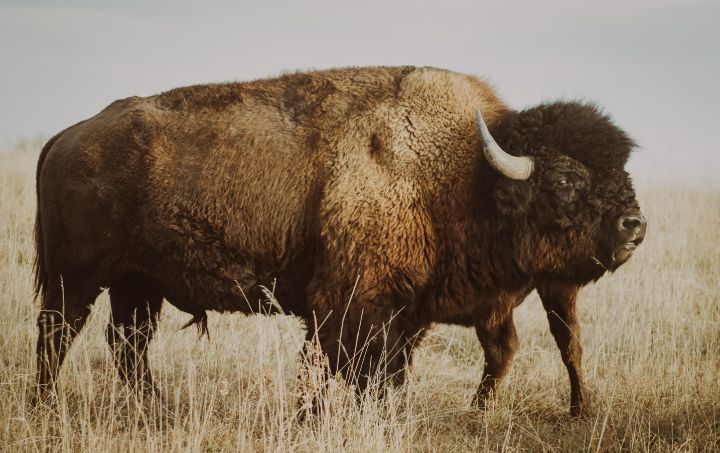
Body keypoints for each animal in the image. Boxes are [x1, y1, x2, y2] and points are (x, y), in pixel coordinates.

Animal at [32, 65, 648, 414]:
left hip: (137, 284)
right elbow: (353, 369)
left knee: (126, 346)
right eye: (566, 180)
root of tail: (65, 136)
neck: (463, 173)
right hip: (76, 278)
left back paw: (156, 409)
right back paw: (46, 406)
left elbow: (379, 371)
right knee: (58, 336)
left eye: (621, 170)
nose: (634, 225)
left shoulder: (404, 311)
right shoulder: (349, 304)